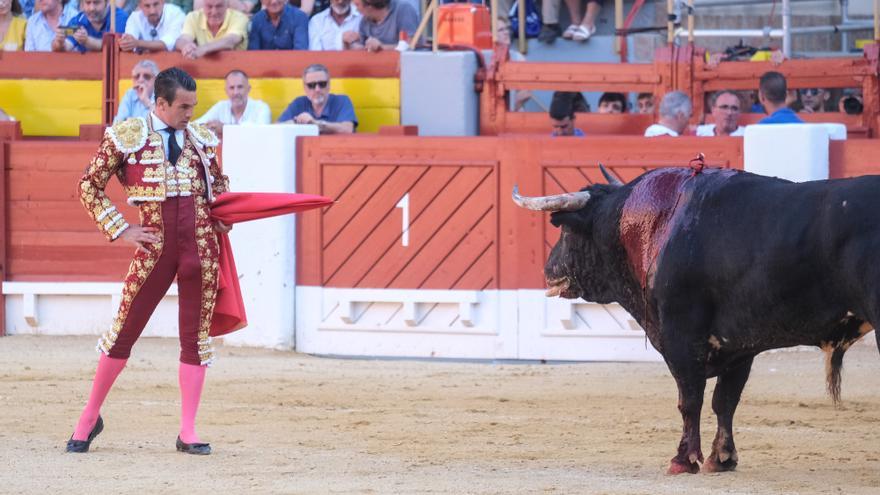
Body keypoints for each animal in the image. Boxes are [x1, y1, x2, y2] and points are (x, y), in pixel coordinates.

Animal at [512, 167, 876, 476]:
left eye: (566, 231)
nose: (548, 269)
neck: (655, 225)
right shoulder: (739, 346)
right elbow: (724, 400)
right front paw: (722, 458)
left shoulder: (681, 335)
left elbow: (690, 399)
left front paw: (683, 460)